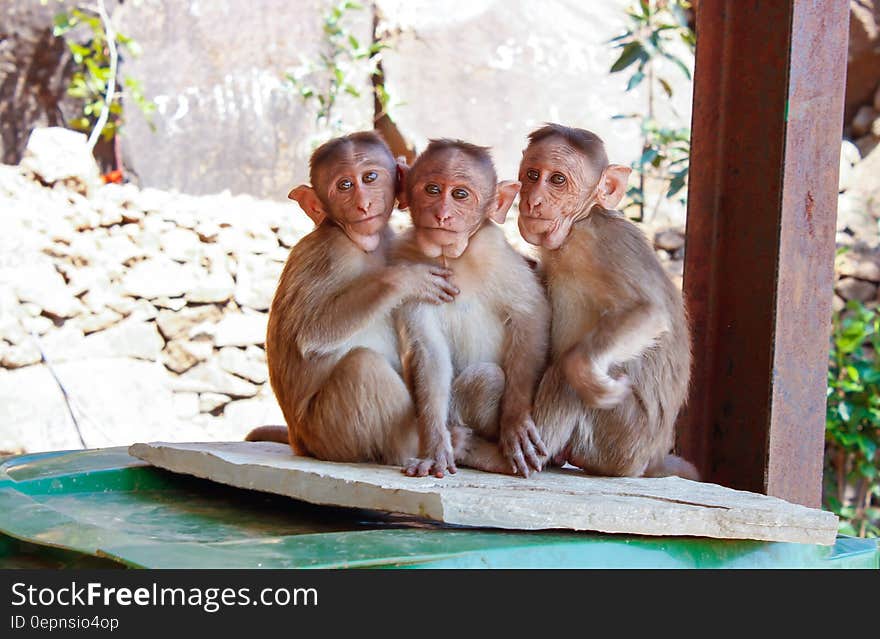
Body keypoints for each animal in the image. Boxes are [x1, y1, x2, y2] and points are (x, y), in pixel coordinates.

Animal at [244, 131, 458, 470]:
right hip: (328, 432)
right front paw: (406, 279)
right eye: (344, 185)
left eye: (369, 177)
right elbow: (309, 334)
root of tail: (297, 440)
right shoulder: (332, 252)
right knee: (362, 366)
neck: (362, 244)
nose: (363, 204)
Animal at [394, 141, 552, 480]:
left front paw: (515, 421)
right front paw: (435, 448)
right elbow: (429, 350)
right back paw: (457, 441)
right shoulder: (407, 264)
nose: (442, 214)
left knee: (486, 378)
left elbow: (531, 316)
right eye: (432, 189)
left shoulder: (495, 253)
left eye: (460, 195)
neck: (450, 258)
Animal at [516, 122, 700, 480]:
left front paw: (584, 372)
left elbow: (649, 313)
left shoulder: (601, 243)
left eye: (557, 180)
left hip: (621, 441)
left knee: (565, 372)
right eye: (532, 174)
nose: (533, 200)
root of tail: (651, 458)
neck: (579, 222)